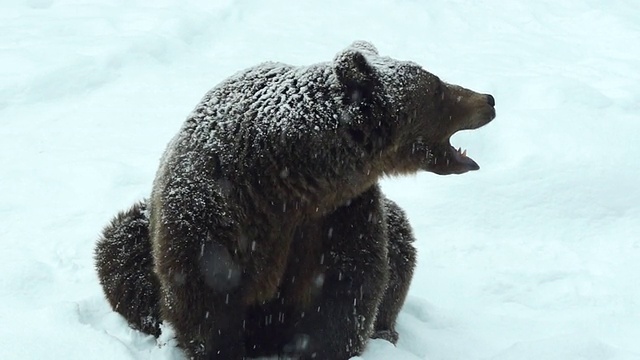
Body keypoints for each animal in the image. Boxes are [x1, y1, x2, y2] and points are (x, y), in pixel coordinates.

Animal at [94, 40, 496, 358]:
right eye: (438, 88)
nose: (488, 100)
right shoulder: (216, 210)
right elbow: (206, 295)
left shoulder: (338, 213)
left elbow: (347, 287)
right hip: (141, 233)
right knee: (122, 252)